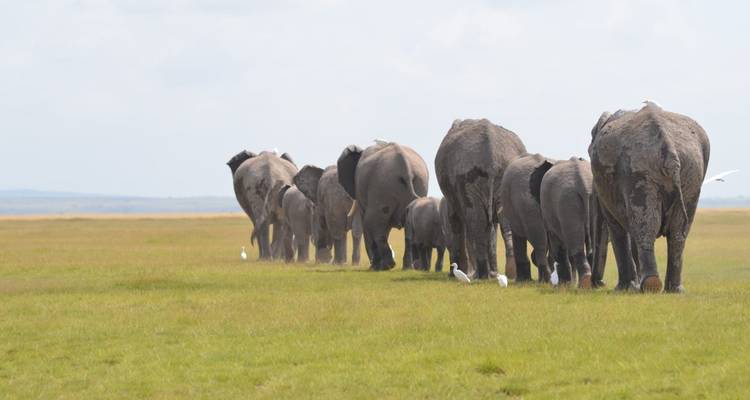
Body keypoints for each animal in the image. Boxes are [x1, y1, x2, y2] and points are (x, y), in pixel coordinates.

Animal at [337, 141, 429, 270]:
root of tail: (406, 168)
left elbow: (368, 224)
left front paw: (374, 267)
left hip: (382, 187)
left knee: (373, 221)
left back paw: (385, 266)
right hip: (417, 182)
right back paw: (406, 268)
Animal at [435, 119, 527, 279]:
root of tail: (492, 154)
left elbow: (456, 220)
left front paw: (456, 274)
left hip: (468, 175)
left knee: (476, 220)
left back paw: (482, 275)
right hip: (497, 175)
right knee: (500, 220)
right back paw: (506, 273)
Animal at [588, 104, 710, 292]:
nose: (598, 284)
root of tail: (669, 149)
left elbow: (617, 226)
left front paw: (624, 289)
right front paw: (631, 287)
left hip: (640, 170)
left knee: (645, 227)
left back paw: (650, 285)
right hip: (690, 172)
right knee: (677, 232)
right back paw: (673, 290)